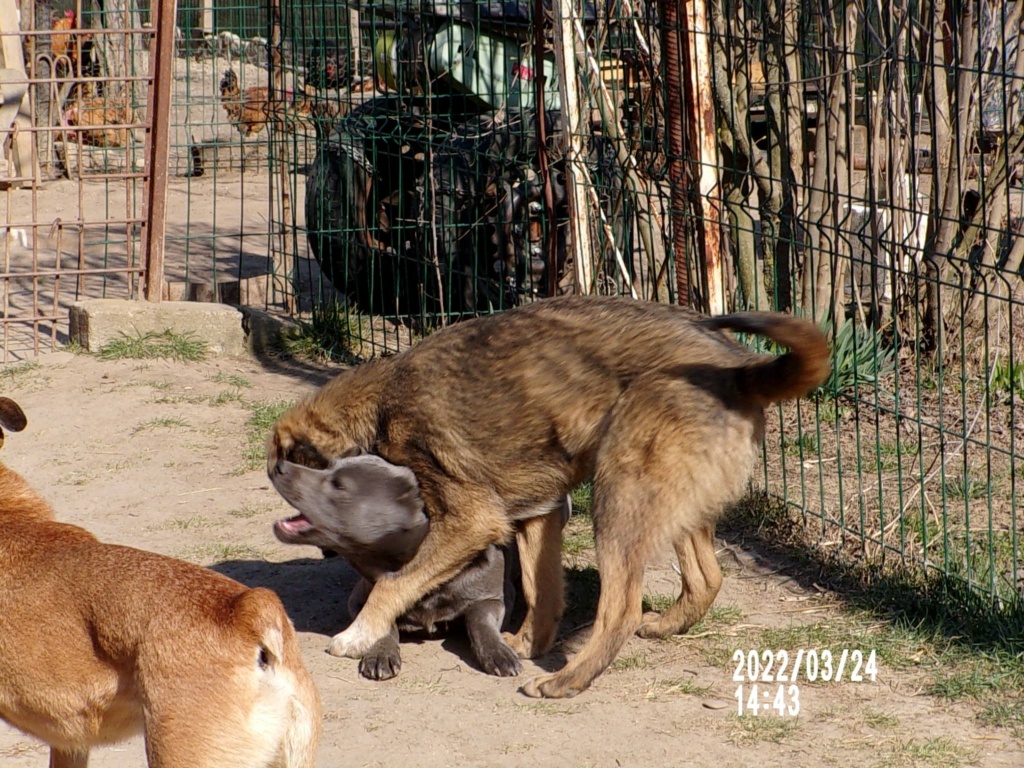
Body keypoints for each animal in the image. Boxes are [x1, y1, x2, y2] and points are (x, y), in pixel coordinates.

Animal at [272, 454, 524, 684]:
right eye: (327, 469)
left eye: (339, 485)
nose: (279, 464)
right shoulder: (359, 599)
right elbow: (382, 618)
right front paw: (380, 654)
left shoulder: (492, 598)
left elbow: (480, 621)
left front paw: (498, 653)